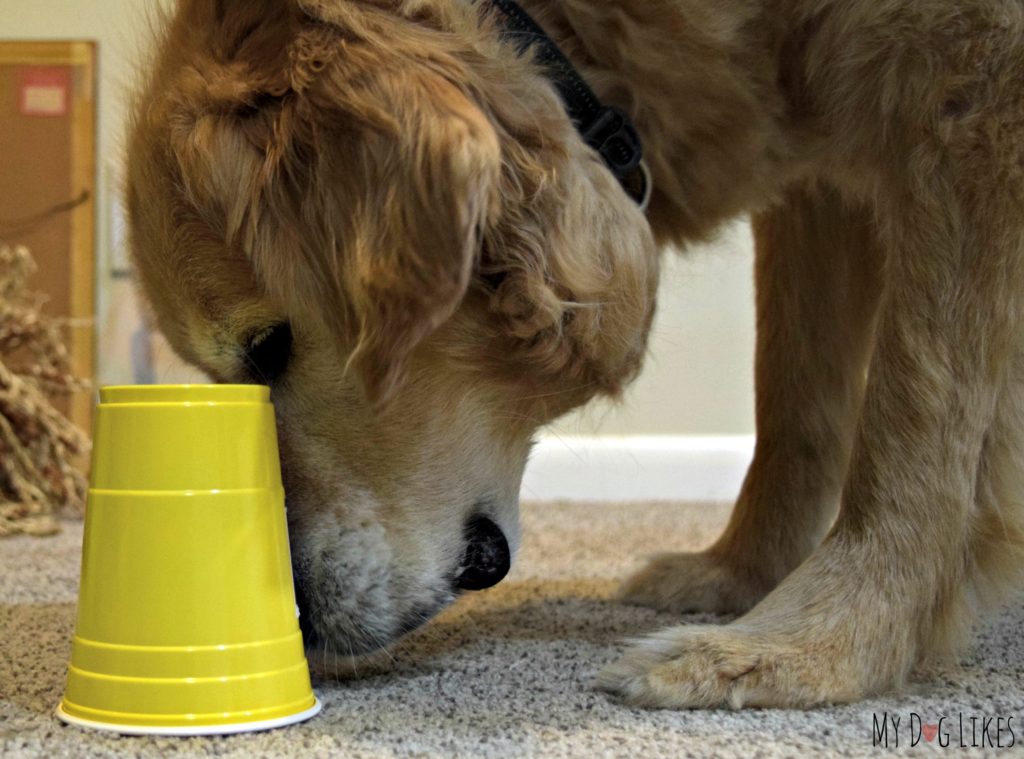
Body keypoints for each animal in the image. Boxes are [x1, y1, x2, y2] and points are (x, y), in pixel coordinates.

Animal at [125, 0, 1024, 708]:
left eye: (270, 346)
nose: (296, 620)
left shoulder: (971, 88)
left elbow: (914, 423)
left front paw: (812, 646)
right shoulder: (817, 183)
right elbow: (796, 406)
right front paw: (738, 579)